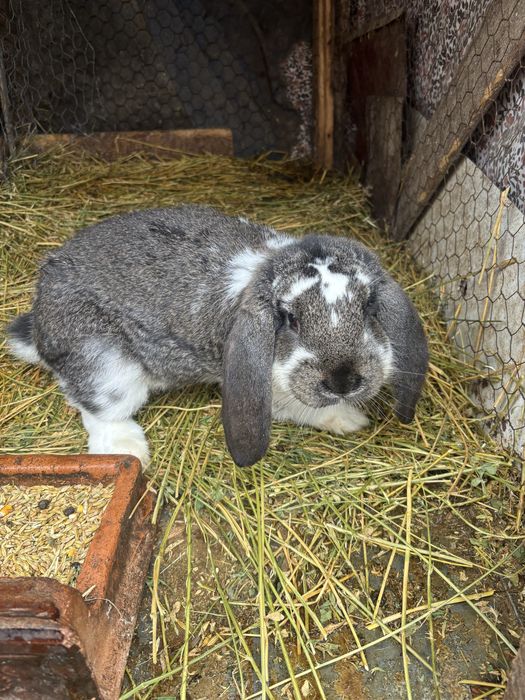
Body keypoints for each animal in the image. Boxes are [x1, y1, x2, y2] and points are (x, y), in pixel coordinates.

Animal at [6, 205, 428, 467]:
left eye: (369, 306)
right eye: (289, 318)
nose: (343, 380)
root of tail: (40, 326)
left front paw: (347, 418)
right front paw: (348, 418)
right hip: (106, 364)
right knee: (96, 408)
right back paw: (131, 452)